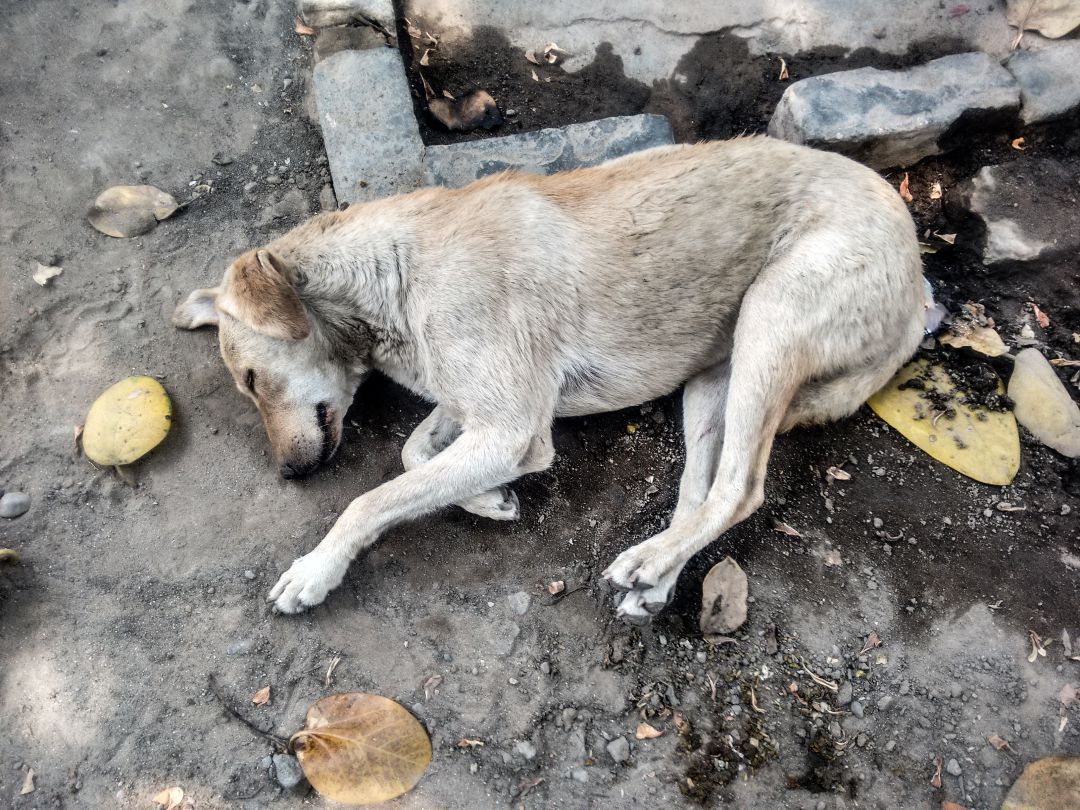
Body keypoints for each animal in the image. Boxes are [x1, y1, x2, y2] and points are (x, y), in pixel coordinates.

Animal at [172, 138, 924, 622]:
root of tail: (920, 278)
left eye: (250, 378)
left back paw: (648, 562)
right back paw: (655, 575)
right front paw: (486, 499)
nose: (288, 475)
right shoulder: (479, 408)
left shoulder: (513, 431)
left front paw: (315, 570)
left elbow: (369, 500)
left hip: (773, 320)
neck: (397, 272)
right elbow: (413, 455)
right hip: (714, 380)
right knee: (702, 492)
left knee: (740, 489)